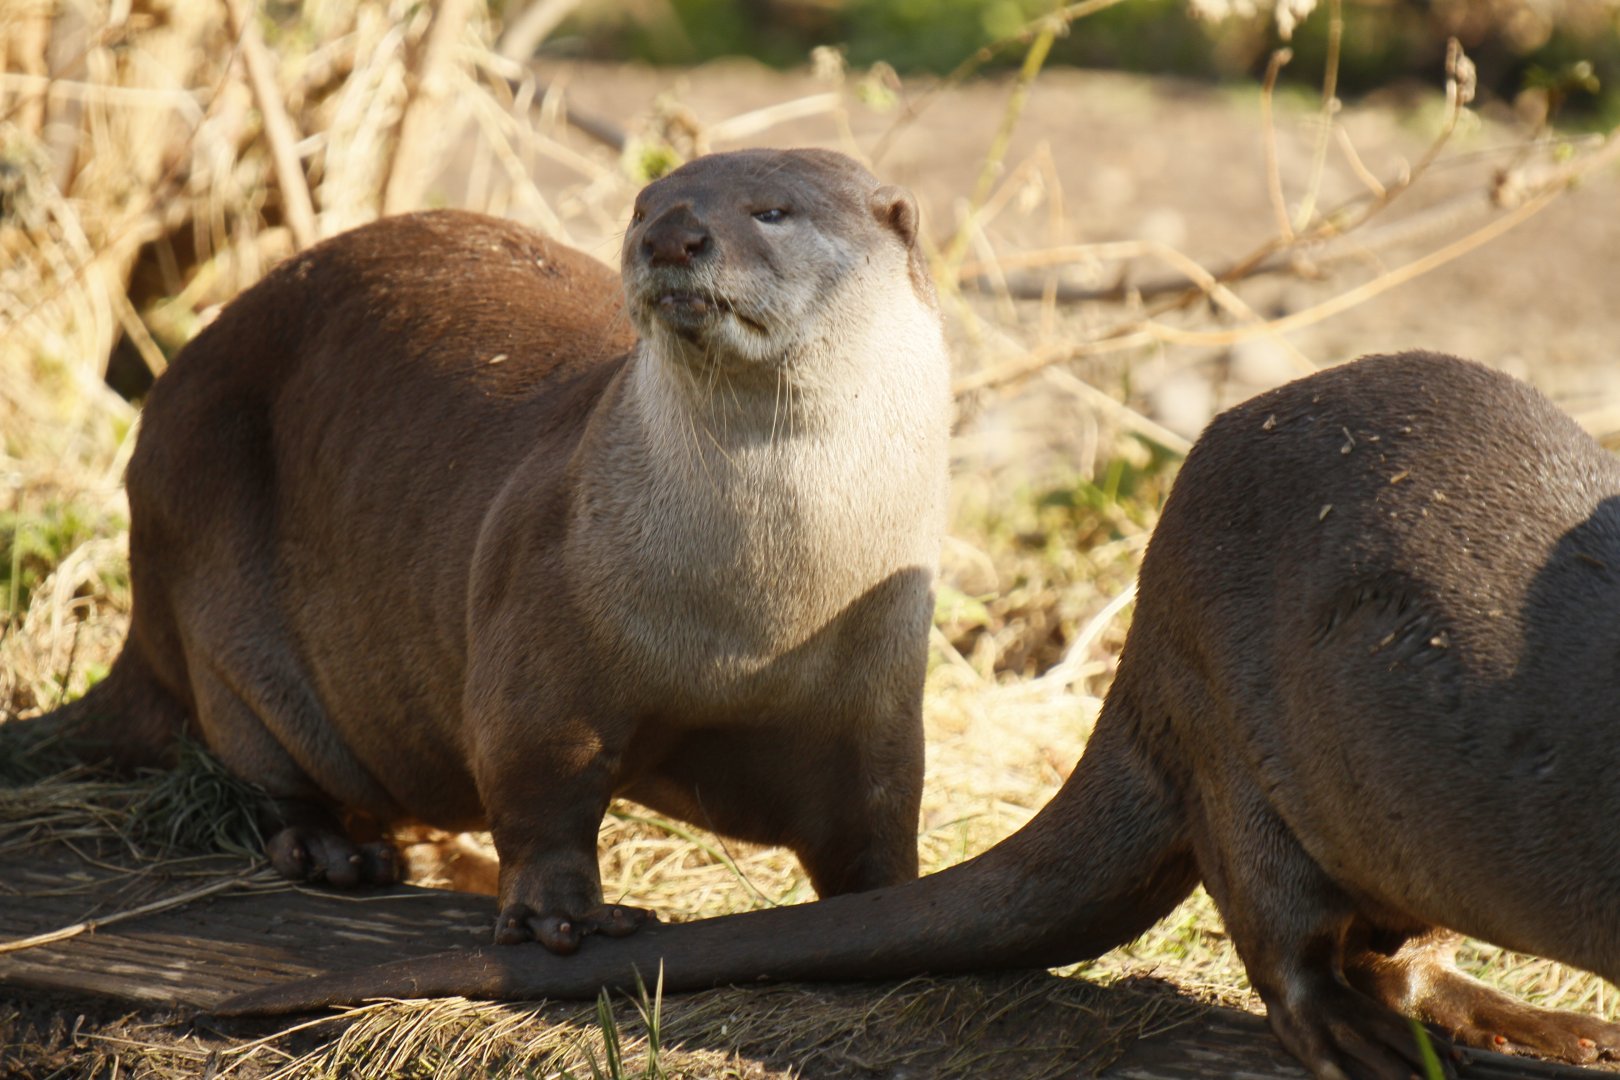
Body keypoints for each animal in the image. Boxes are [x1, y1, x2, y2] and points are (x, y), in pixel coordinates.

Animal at [18, 149, 952, 955]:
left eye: (772, 211)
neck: (755, 623)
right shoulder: (539, 629)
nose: (673, 236)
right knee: (260, 766)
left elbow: (878, 817)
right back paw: (335, 851)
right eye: (643, 207)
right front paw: (560, 916)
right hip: (215, 587)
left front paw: (894, 909)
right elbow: (537, 786)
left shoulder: (879, 689)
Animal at [219, 353, 1620, 1079]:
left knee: (1410, 953)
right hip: (1233, 735)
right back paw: (1361, 1038)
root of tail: (1144, 649)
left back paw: (1551, 1023)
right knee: (1288, 940)